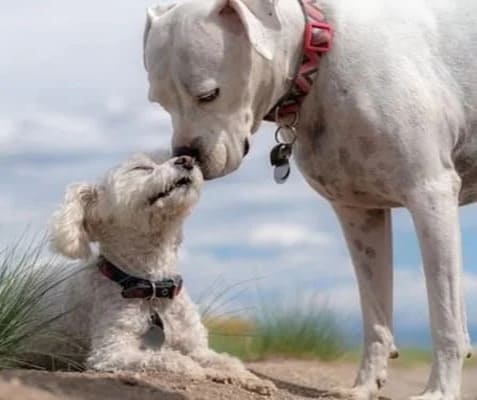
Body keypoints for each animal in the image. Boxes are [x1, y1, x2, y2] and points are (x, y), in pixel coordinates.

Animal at [49, 152, 272, 394]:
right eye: (141, 168)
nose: (187, 159)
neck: (154, 289)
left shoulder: (196, 346)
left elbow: (226, 360)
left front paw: (252, 379)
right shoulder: (111, 352)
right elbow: (166, 357)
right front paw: (195, 369)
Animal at [142, 0, 476, 400]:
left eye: (209, 95)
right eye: (160, 103)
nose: (185, 155)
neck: (317, 53)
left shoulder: (430, 195)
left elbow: (445, 314)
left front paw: (439, 391)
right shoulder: (359, 214)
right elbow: (375, 313)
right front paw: (363, 386)